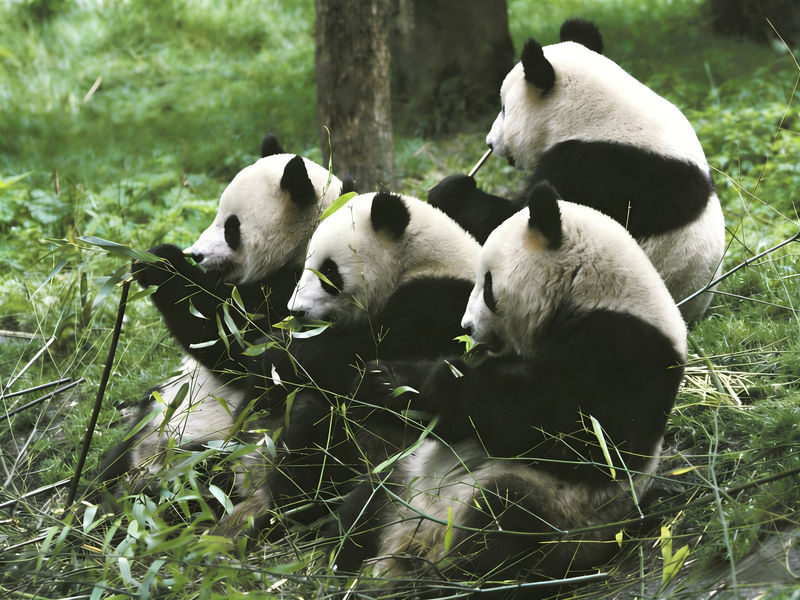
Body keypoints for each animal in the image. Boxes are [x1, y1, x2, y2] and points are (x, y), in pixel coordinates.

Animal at [97, 149, 352, 523]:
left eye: (232, 227)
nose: (196, 255)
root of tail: (146, 464)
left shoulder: (301, 294)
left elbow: (233, 347)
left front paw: (158, 261)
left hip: (221, 451)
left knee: (204, 483)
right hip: (155, 416)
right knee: (117, 455)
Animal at [255, 190, 481, 527]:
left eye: (329, 271)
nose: (296, 311)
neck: (421, 259)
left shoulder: (435, 303)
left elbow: (357, 354)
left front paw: (273, 352)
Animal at [328, 182, 687, 594]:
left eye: (487, 285)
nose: (466, 327)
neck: (593, 292)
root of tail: (411, 539)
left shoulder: (626, 349)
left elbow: (582, 437)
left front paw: (447, 380)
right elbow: (447, 421)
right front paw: (381, 381)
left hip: (559, 515)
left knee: (503, 523)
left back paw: (444, 576)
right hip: (405, 474)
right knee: (367, 501)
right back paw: (344, 562)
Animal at [430, 18, 725, 323]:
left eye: (503, 108)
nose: (490, 142)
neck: (592, 115)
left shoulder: (596, 169)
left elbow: (516, 220)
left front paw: (451, 192)